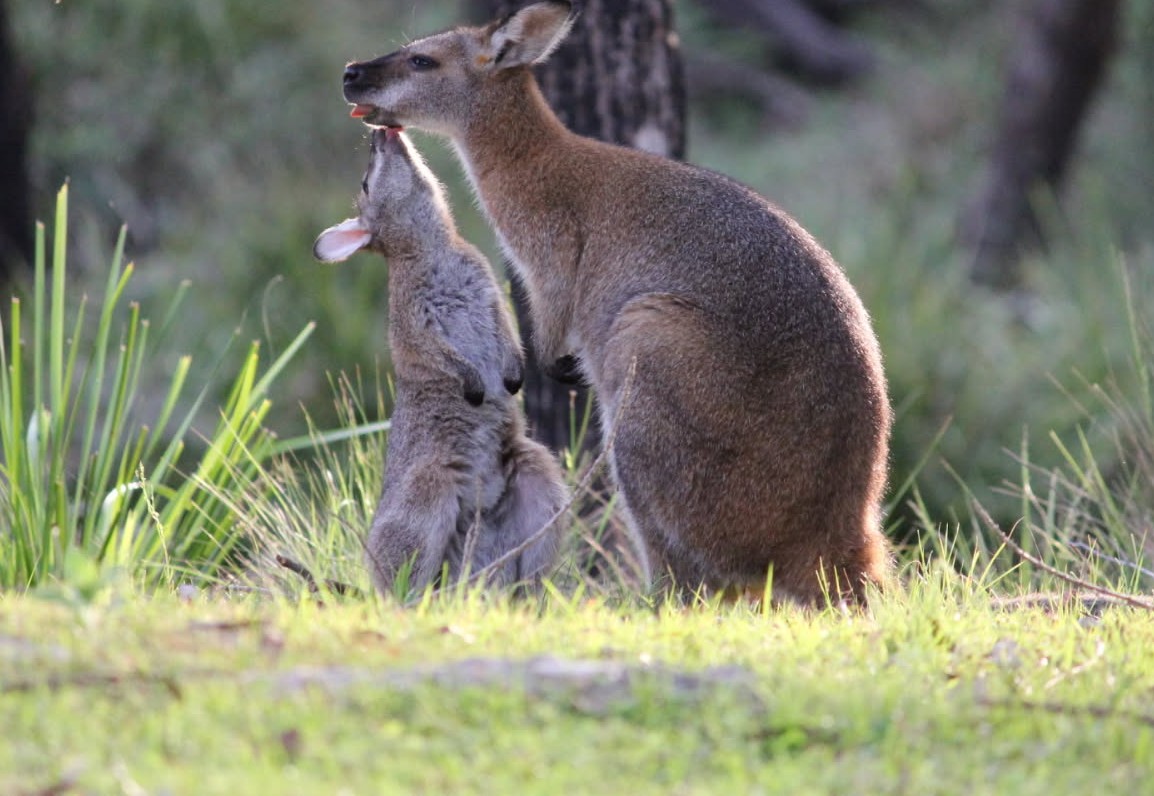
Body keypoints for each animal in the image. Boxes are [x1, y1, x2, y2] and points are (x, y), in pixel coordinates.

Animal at [313, 126, 569, 598]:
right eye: (365, 183)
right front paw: (474, 385)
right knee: (404, 588)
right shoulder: (413, 323)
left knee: (529, 570)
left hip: (539, 478)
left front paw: (512, 377)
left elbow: (507, 333)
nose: (380, 133)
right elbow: (435, 352)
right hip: (427, 490)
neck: (433, 249)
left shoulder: (488, 289)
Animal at [339, 0, 893, 605]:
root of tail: (835, 545)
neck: (533, 158)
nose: (350, 73)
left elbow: (553, 303)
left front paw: (545, 364)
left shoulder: (553, 245)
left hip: (651, 348)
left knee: (694, 576)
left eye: (421, 61)